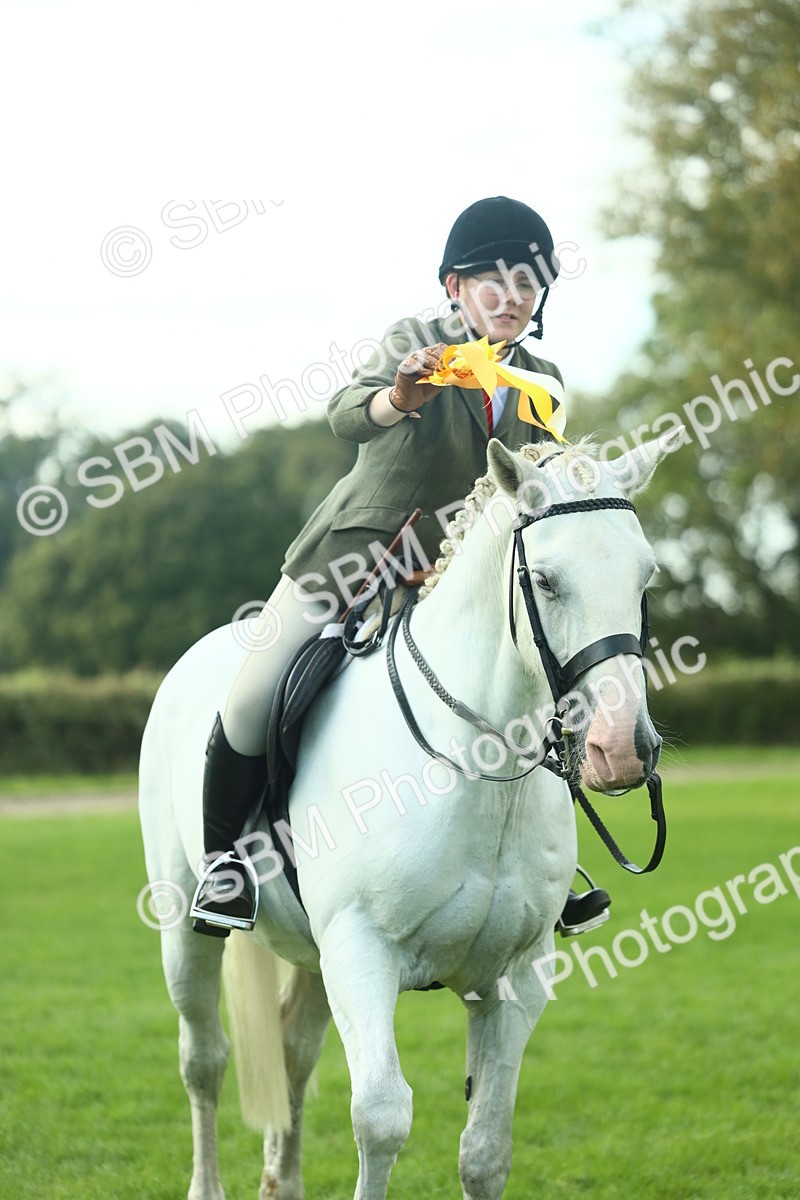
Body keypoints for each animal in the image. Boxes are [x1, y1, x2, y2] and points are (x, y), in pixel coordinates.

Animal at [138, 430, 677, 1200]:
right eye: (545, 581)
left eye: (644, 579)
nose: (622, 749)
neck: (480, 774)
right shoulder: (363, 953)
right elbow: (382, 1118)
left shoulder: (515, 978)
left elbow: (485, 1149)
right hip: (188, 929)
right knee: (204, 1058)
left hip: (315, 953)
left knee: (294, 1049)